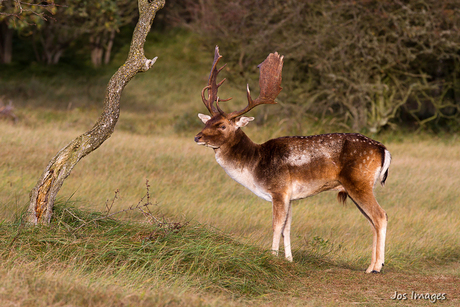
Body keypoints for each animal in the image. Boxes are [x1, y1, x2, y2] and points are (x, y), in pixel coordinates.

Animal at [194, 46, 392, 274]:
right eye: (207, 121)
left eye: (222, 125)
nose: (197, 137)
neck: (254, 166)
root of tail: (383, 149)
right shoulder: (290, 197)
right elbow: (287, 228)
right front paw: (289, 259)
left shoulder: (279, 190)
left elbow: (276, 225)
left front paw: (272, 256)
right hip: (360, 186)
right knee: (372, 221)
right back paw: (370, 265)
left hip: (359, 181)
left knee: (380, 216)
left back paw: (376, 267)